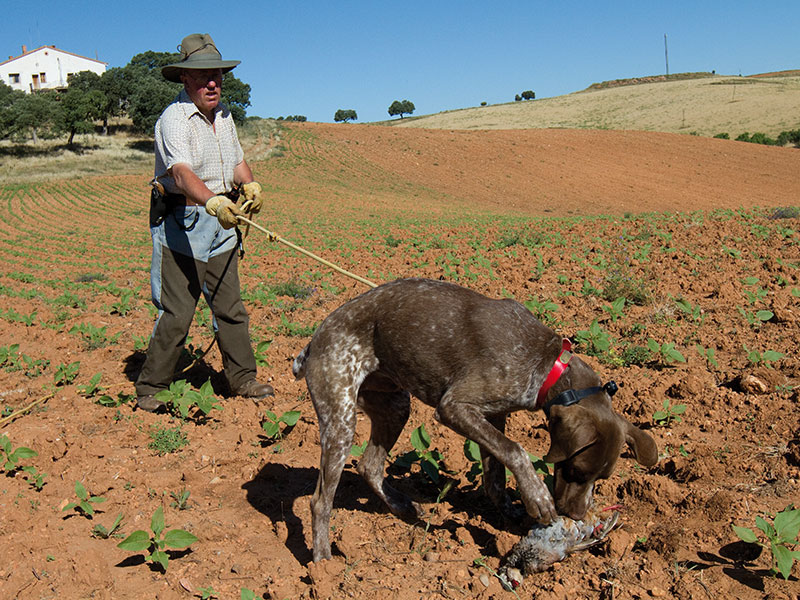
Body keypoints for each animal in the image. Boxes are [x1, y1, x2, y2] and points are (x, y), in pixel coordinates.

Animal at [292, 278, 658, 562]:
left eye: (602, 477)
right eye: (577, 471)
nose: (577, 516)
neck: (548, 366)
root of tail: (312, 342)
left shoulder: (494, 415)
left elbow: (495, 474)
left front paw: (512, 513)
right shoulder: (454, 407)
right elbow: (515, 451)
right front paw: (537, 497)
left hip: (395, 406)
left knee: (369, 465)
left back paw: (402, 506)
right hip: (340, 418)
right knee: (320, 501)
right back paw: (323, 563)